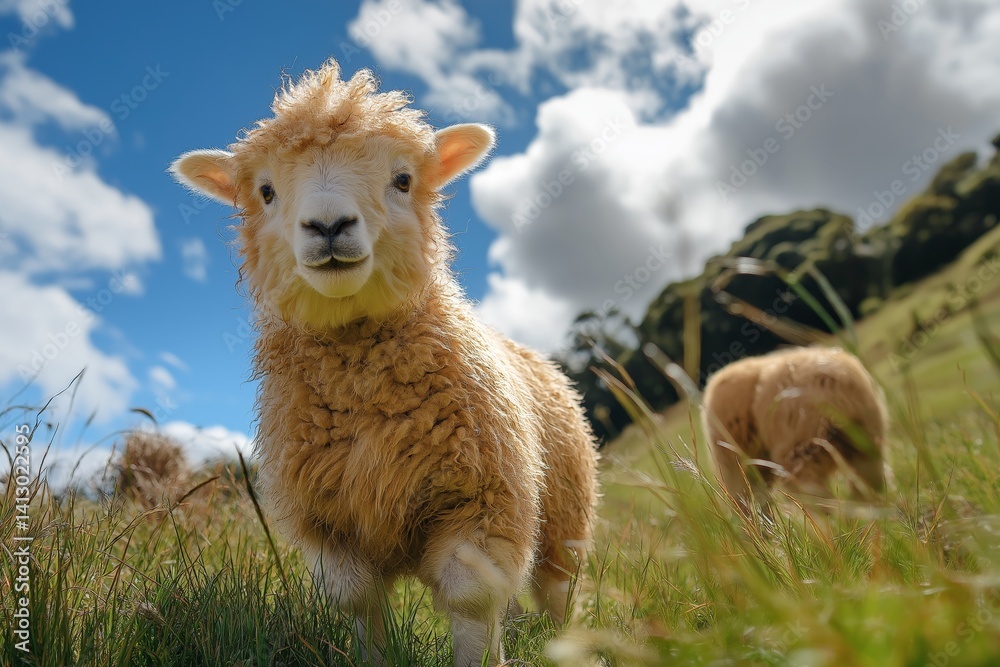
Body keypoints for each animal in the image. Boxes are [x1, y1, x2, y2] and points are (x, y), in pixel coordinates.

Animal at [170, 59, 599, 667]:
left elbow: (472, 597)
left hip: (564, 512)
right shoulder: (330, 523)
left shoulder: (483, 499)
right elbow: (355, 599)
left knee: (560, 590)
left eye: (403, 180)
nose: (328, 226)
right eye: (266, 191)